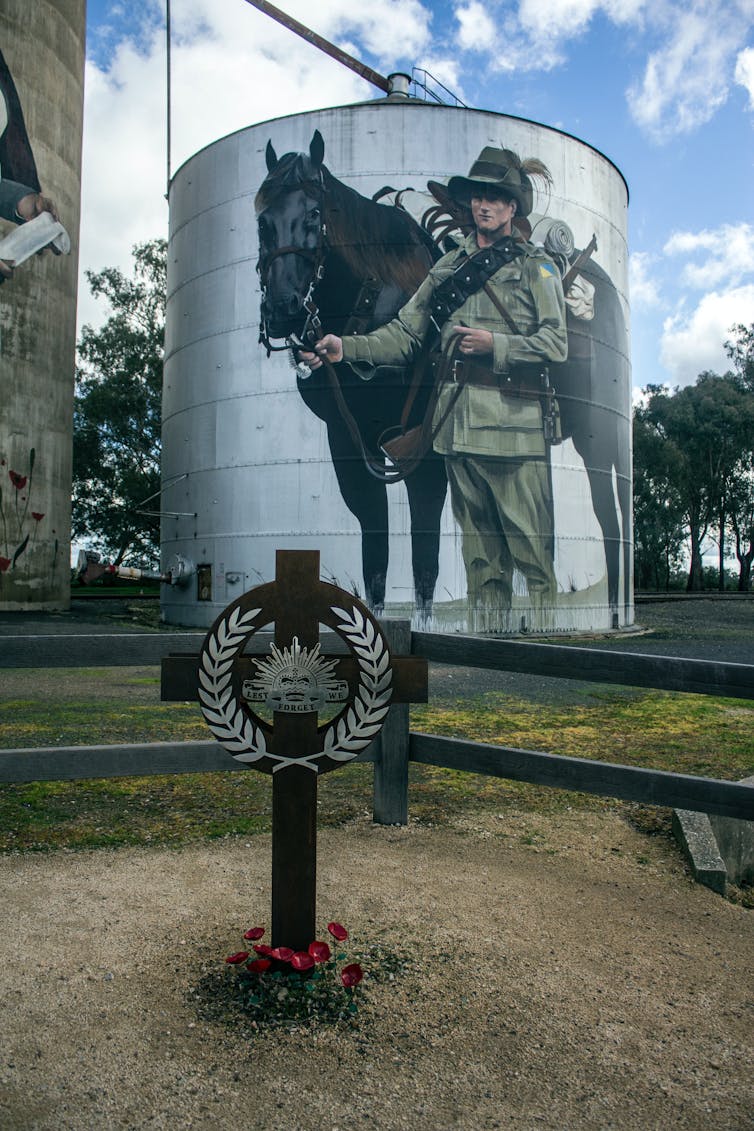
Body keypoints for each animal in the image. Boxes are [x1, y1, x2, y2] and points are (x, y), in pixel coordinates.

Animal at [256, 134, 445, 628]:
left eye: (314, 213)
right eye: (262, 220)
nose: (283, 308)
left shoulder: (422, 443)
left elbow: (425, 551)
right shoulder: (346, 436)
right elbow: (374, 548)